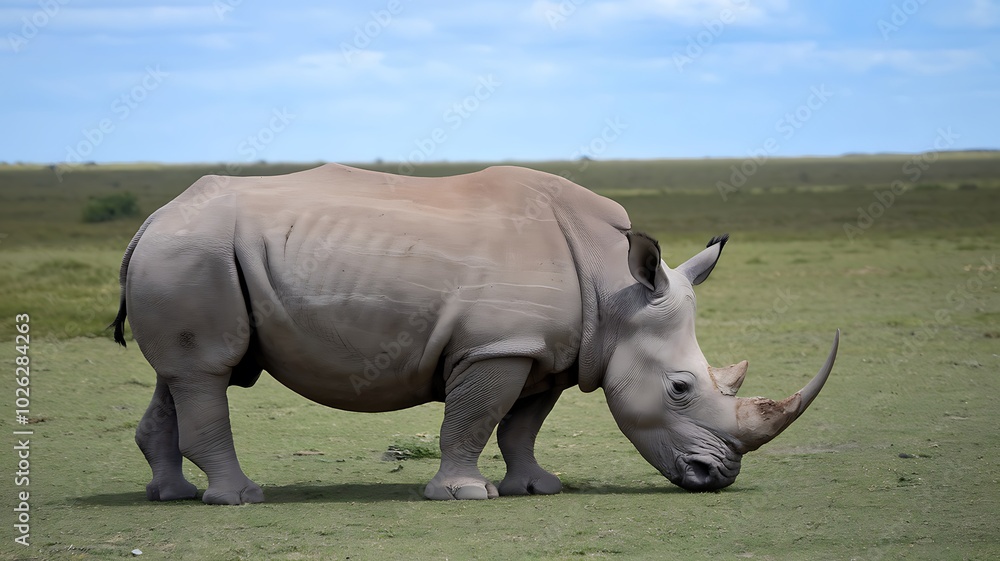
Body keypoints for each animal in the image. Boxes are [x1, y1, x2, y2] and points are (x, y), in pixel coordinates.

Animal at [110, 163, 839, 504]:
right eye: (682, 387)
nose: (718, 476)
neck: (615, 287)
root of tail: (151, 219)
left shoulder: (548, 349)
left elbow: (522, 424)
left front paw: (536, 487)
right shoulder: (497, 345)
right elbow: (474, 418)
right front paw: (466, 493)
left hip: (187, 256)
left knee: (181, 374)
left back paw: (171, 495)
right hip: (193, 253)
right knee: (207, 372)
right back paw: (238, 498)